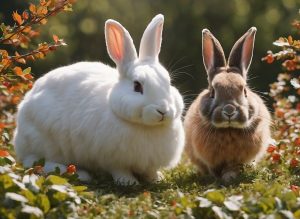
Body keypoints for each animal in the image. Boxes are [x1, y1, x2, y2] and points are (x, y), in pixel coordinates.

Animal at [14, 14, 185, 185]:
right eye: (137, 86)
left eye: (168, 82)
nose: (163, 110)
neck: (146, 127)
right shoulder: (112, 159)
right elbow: (120, 170)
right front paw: (128, 182)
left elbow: (150, 171)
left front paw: (157, 179)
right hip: (43, 142)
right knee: (34, 162)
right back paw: (79, 174)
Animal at [185, 26, 272, 182]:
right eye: (213, 92)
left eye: (244, 91)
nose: (229, 110)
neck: (228, 129)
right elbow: (214, 169)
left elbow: (234, 167)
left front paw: (230, 176)